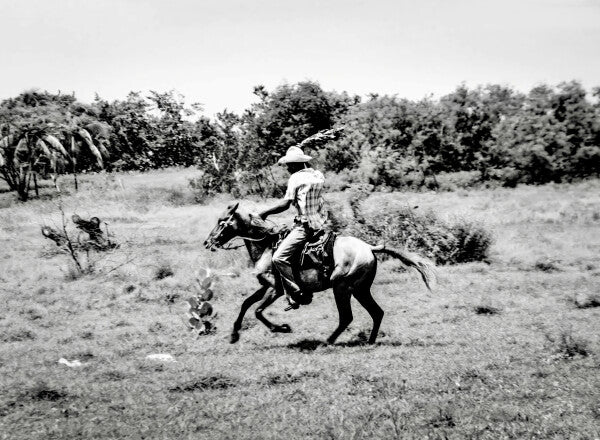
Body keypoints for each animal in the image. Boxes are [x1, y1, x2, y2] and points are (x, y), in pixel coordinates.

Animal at [203, 202, 436, 344]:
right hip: (360, 290)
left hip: (342, 288)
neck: (267, 246)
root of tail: (370, 248)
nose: (208, 242)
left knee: (347, 317)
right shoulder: (265, 286)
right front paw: (234, 334)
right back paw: (369, 341)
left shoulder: (276, 289)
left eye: (221, 222)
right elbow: (246, 304)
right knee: (376, 312)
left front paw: (282, 328)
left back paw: (329, 341)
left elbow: (258, 311)